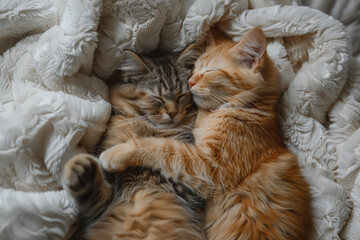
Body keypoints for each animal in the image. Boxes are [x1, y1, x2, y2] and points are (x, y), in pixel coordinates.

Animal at [62, 49, 205, 240]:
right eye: (158, 98)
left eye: (181, 96)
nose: (173, 113)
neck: (150, 129)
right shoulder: (103, 203)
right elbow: (96, 196)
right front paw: (82, 172)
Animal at [100, 27, 314, 238]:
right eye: (194, 70)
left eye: (208, 71)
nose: (190, 82)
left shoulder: (211, 166)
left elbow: (160, 147)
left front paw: (117, 153)